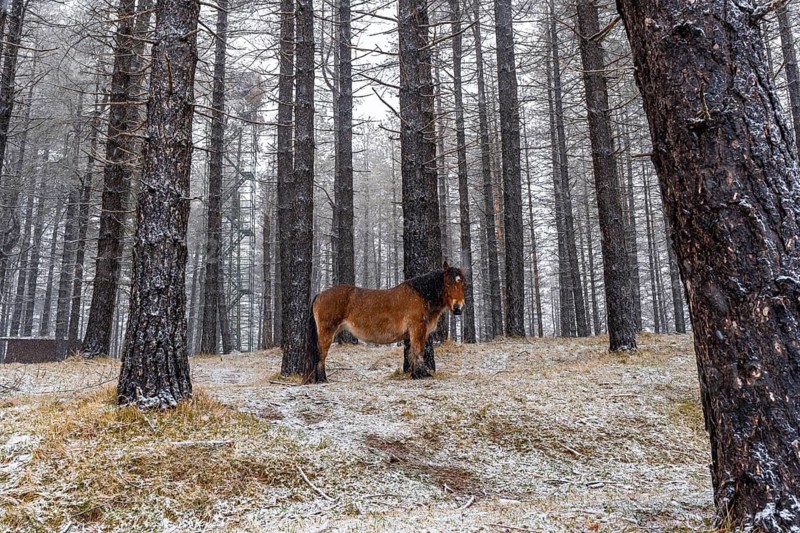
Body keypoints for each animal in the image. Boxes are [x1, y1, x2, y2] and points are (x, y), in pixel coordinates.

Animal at [303, 261, 467, 384]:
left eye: (463, 284)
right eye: (447, 284)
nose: (458, 307)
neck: (421, 295)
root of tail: (320, 294)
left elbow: (413, 352)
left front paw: (417, 373)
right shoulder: (417, 328)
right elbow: (418, 351)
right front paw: (420, 374)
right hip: (327, 332)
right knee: (321, 354)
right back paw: (322, 379)